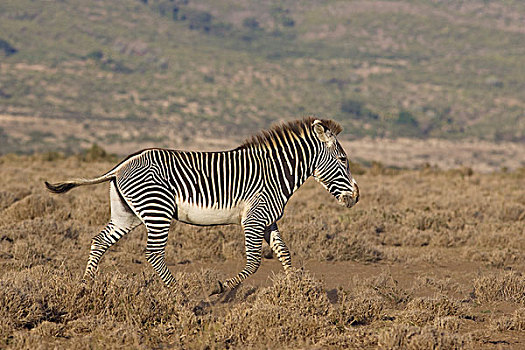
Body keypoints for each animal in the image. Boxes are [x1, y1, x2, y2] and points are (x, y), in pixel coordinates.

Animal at [45, 117, 358, 292]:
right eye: (343, 160)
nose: (355, 198)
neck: (277, 172)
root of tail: (121, 165)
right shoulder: (254, 219)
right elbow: (254, 262)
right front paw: (221, 288)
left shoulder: (268, 219)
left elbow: (284, 254)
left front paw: (297, 290)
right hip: (157, 211)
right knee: (153, 253)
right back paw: (179, 292)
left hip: (127, 215)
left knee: (99, 241)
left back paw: (85, 284)